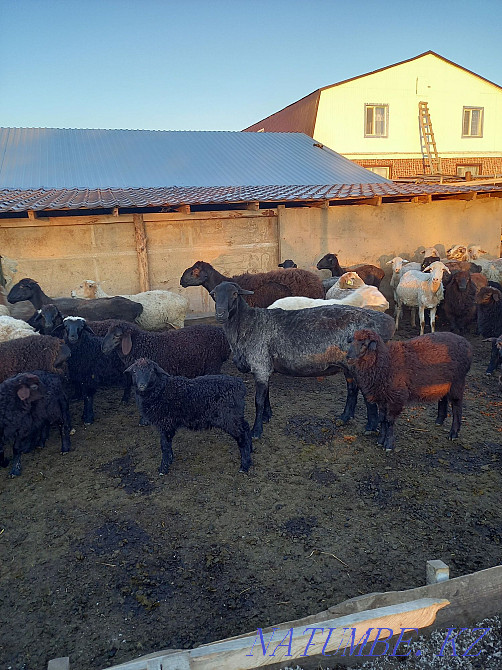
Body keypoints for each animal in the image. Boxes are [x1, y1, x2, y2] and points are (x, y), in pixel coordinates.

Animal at [210, 281, 395, 439]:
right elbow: (266, 395)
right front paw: (267, 416)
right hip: (348, 365)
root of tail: (383, 322)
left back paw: (370, 426)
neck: (246, 324)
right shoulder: (264, 367)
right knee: (352, 389)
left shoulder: (260, 364)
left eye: (234, 294)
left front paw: (256, 430)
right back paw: (344, 418)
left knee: (367, 392)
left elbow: (258, 401)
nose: (220, 314)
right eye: (214, 295)